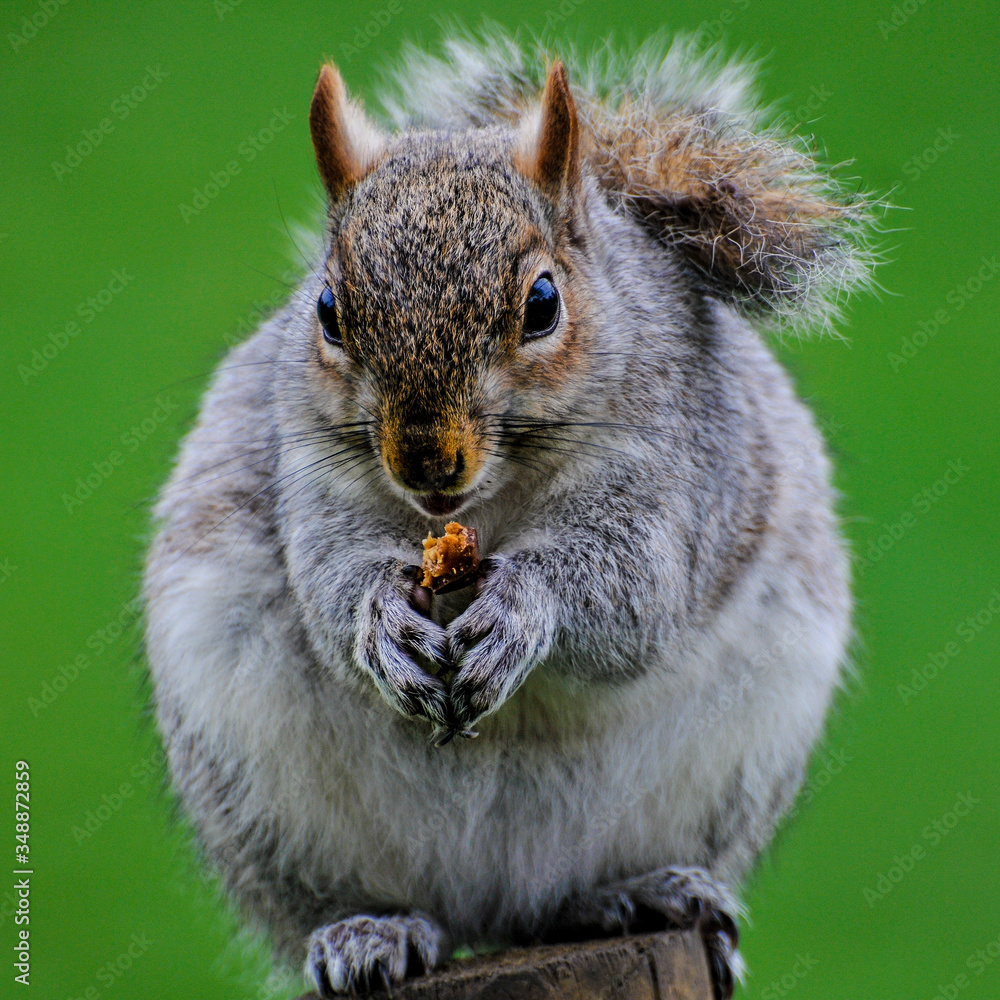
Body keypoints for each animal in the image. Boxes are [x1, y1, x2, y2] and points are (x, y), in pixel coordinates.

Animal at [143, 31, 874, 1000]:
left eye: (542, 304)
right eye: (328, 311)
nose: (425, 460)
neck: (486, 506)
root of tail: (493, 918)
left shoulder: (676, 463)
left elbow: (630, 594)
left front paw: (524, 609)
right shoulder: (308, 470)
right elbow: (332, 584)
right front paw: (381, 622)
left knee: (564, 902)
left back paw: (640, 893)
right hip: (258, 793)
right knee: (358, 905)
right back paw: (368, 932)